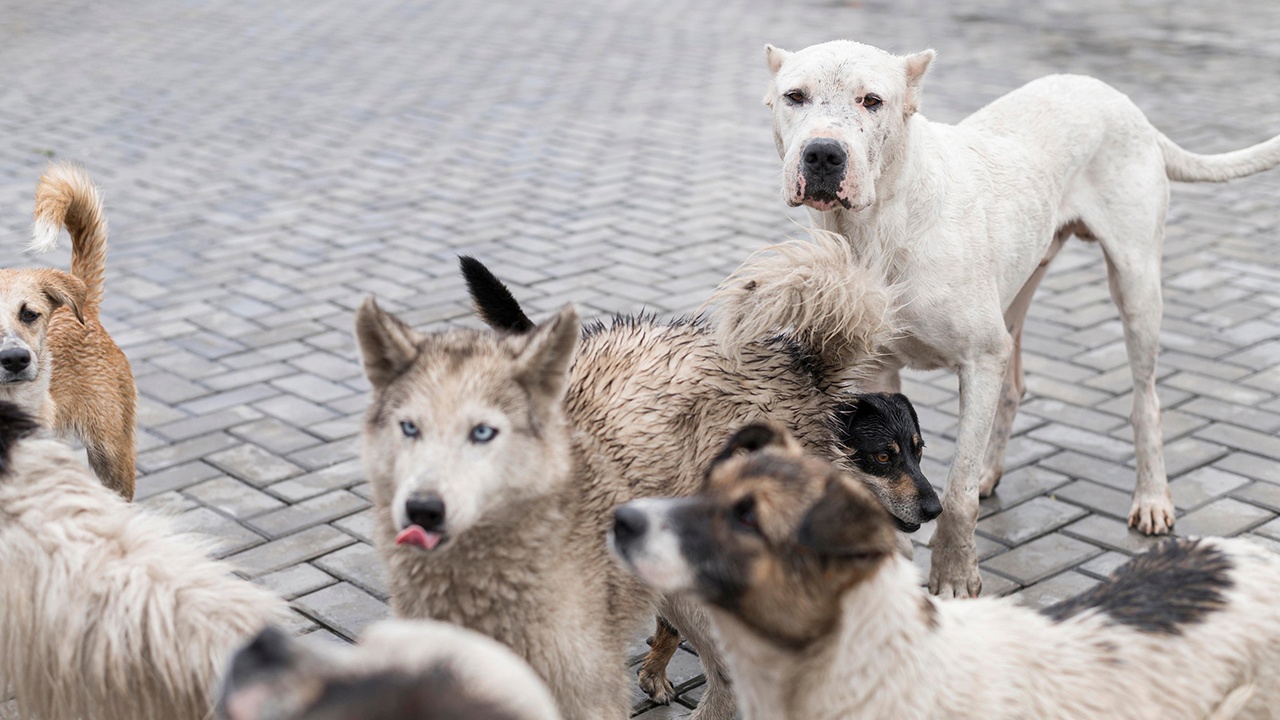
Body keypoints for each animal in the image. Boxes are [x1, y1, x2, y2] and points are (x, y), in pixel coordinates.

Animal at [732, 36, 1280, 591]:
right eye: (795, 96)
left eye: (872, 101)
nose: (823, 152)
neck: (879, 228)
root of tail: (1123, 103)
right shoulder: (876, 371)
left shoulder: (980, 359)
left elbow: (956, 494)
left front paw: (954, 576)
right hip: (1018, 291)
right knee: (1013, 388)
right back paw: (992, 471)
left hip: (1137, 285)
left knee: (1145, 400)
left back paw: (1151, 497)